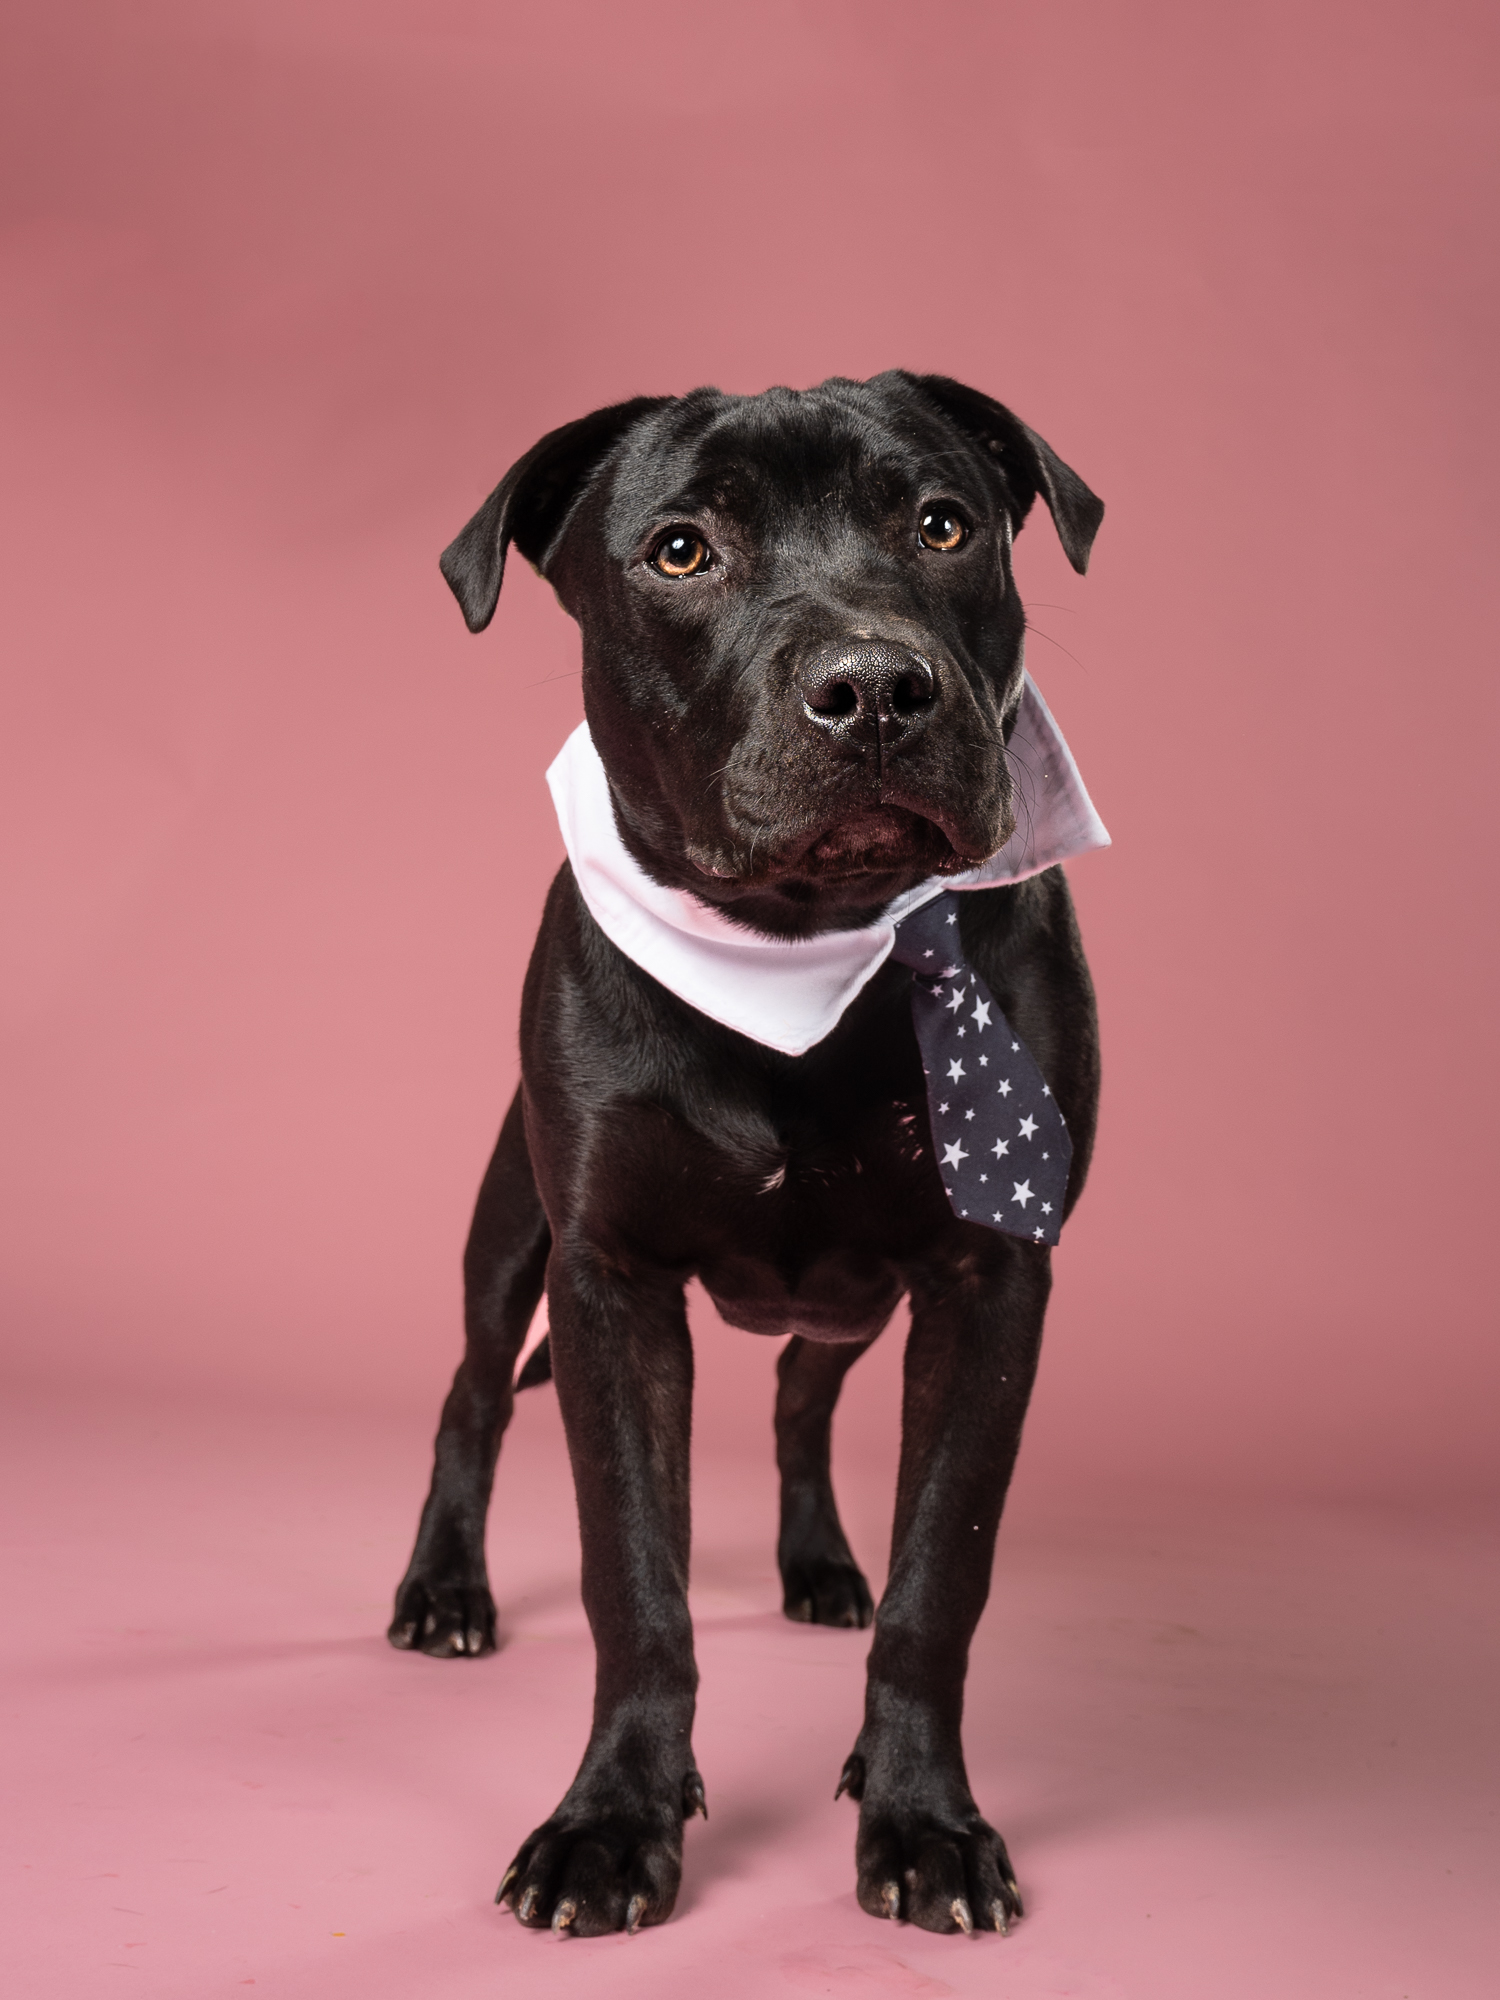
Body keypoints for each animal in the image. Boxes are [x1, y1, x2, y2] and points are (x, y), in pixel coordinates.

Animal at [394, 372, 1112, 1936]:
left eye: (943, 523)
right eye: (681, 551)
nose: (874, 686)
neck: (805, 945)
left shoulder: (992, 1281)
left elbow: (939, 1576)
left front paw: (924, 1819)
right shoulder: (606, 1282)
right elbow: (634, 1581)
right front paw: (609, 1823)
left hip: (850, 1298)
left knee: (798, 1399)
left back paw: (821, 1565)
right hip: (508, 1245)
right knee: (471, 1399)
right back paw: (443, 1590)